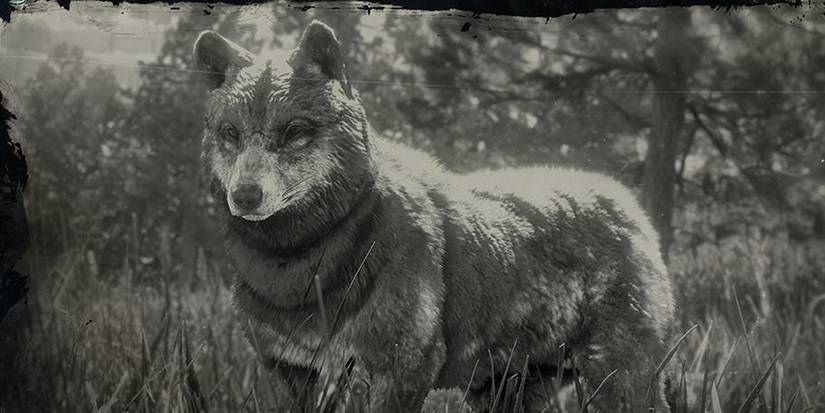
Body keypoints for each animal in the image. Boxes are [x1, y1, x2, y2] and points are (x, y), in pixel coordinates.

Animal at [194, 20, 677, 413]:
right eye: (230, 134)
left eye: (294, 132)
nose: (245, 196)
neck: (299, 274)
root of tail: (631, 207)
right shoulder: (290, 373)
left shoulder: (402, 370)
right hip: (507, 390)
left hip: (618, 382)